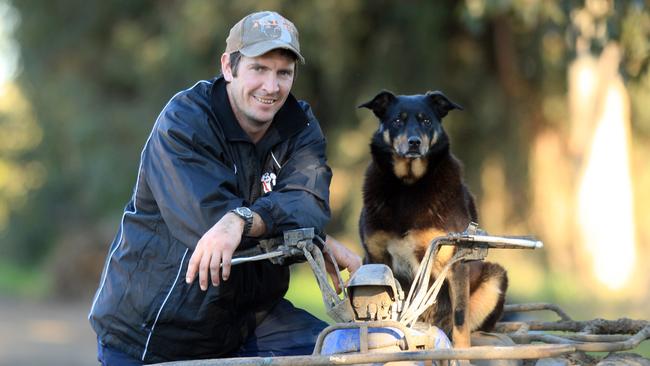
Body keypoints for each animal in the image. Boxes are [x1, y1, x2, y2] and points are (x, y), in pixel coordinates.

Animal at [360, 89, 506, 346]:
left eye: (426, 120)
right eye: (397, 120)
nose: (414, 142)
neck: (408, 186)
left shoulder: (455, 264)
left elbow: (460, 323)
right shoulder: (375, 257)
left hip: (495, 278)